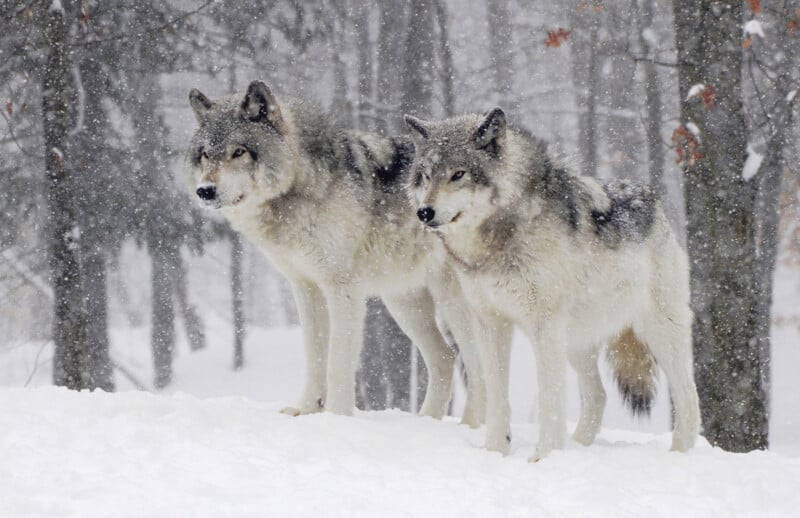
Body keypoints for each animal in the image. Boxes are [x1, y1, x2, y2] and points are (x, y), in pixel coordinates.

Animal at [184, 80, 487, 423]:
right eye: (205, 154)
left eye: (238, 151)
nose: (205, 191)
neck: (297, 191)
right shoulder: (305, 288)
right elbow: (314, 356)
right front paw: (305, 410)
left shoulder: (343, 289)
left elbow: (338, 362)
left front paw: (337, 415)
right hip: (404, 304)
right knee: (445, 357)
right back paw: (425, 420)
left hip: (452, 303)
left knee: (478, 368)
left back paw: (470, 425)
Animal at [404, 108, 701, 461]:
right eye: (425, 176)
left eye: (458, 174)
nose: (424, 212)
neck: (500, 237)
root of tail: (655, 201)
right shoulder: (490, 323)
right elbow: (497, 396)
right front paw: (496, 451)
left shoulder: (543, 326)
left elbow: (549, 397)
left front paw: (542, 458)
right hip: (575, 340)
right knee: (598, 395)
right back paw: (578, 448)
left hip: (657, 332)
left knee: (688, 395)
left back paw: (680, 454)